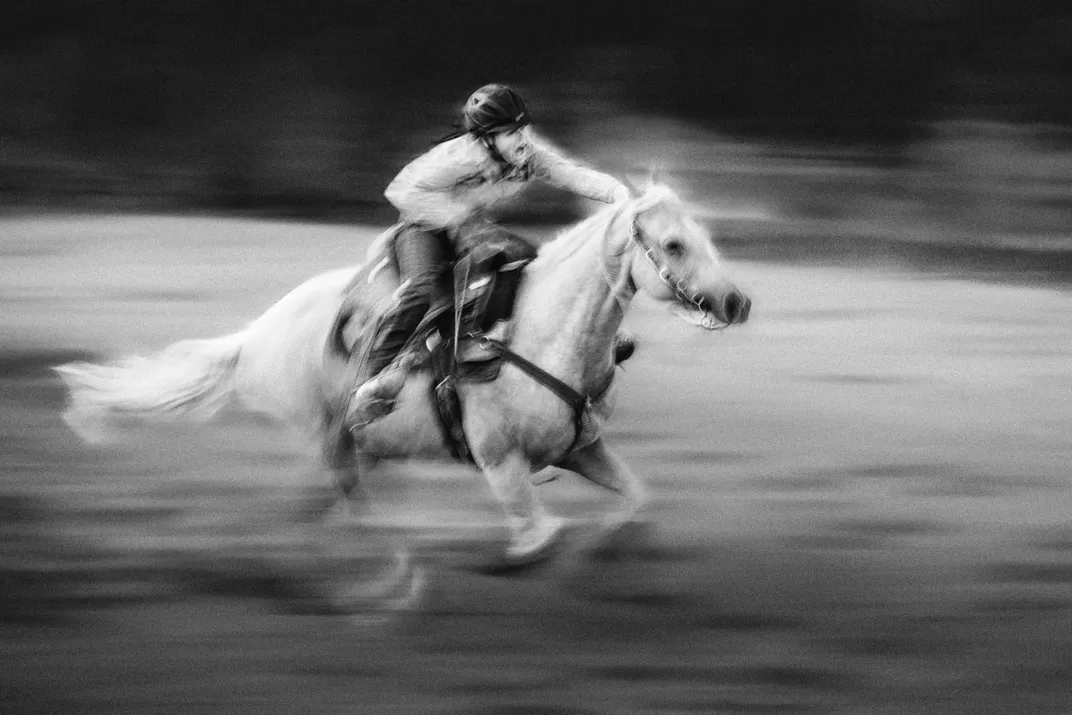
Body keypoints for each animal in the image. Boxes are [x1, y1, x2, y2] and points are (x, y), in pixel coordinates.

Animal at [54, 179, 750, 600]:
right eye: (673, 244)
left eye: (705, 238)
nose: (736, 302)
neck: (540, 333)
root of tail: (258, 334)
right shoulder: (501, 462)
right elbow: (540, 536)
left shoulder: (582, 449)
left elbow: (635, 500)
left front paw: (608, 556)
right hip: (333, 440)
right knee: (354, 509)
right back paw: (391, 582)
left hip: (364, 449)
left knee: (320, 510)